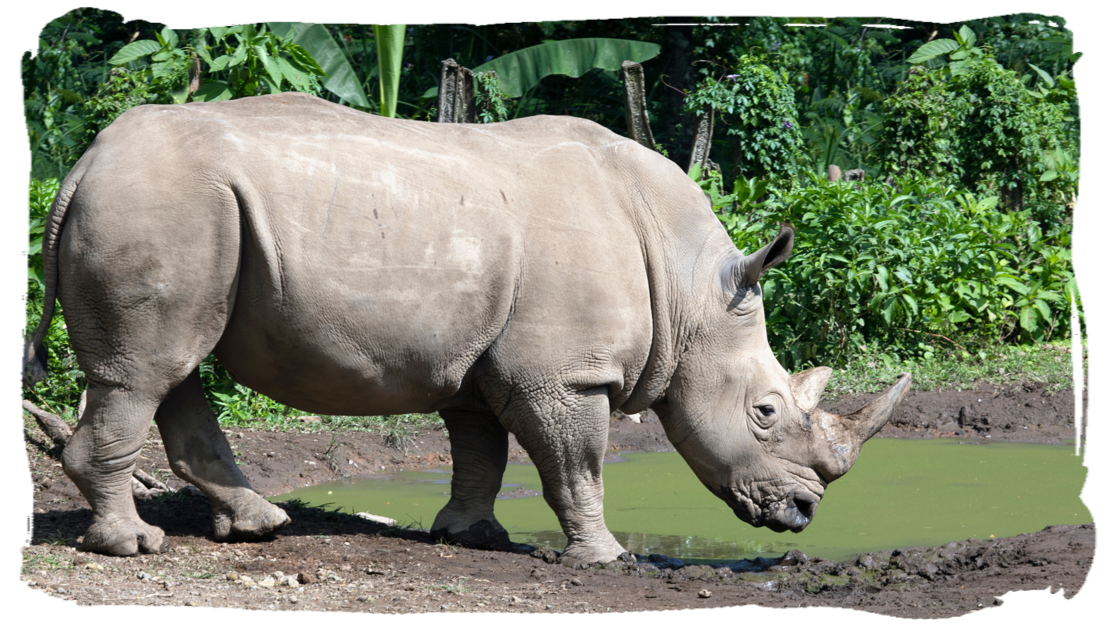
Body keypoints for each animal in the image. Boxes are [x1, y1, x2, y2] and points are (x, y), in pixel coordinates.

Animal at [22, 93, 910, 561]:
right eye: (765, 412)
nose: (804, 514)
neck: (691, 289)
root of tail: (81, 166)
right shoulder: (565, 372)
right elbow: (575, 465)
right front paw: (605, 556)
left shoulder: (482, 356)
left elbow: (479, 447)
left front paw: (471, 535)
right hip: (164, 204)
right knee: (144, 372)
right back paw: (135, 545)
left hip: (181, 212)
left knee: (172, 365)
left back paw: (260, 526)